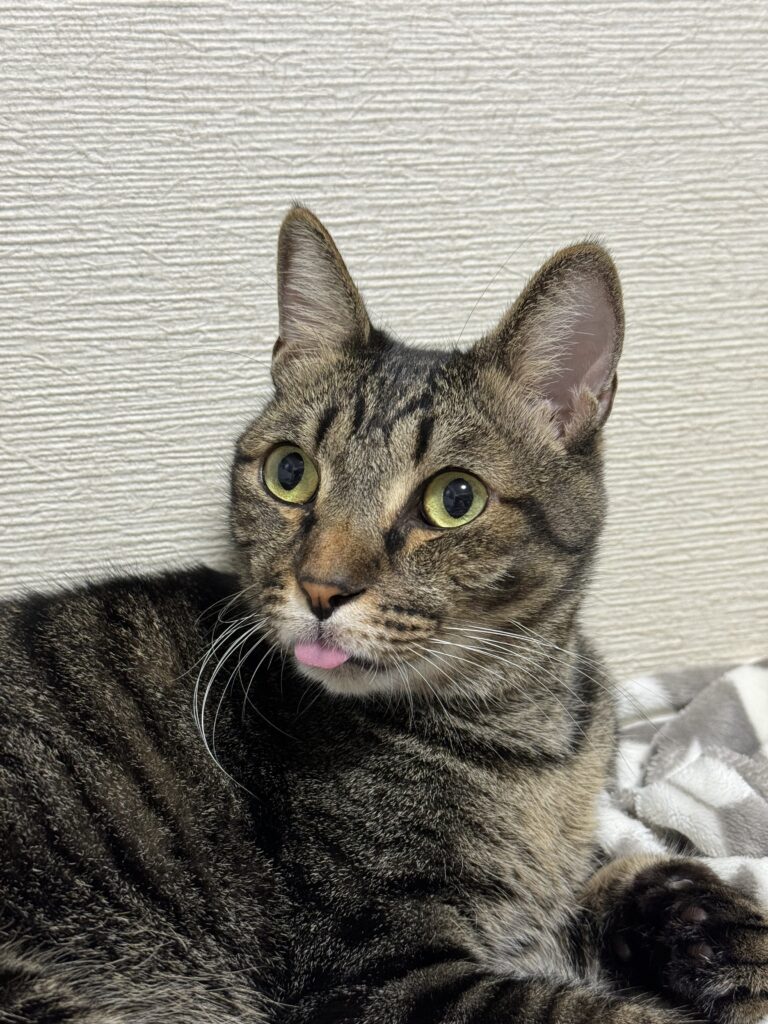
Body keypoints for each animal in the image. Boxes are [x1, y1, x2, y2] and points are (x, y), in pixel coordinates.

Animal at [1, 206, 766, 1024]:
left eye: (455, 499)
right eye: (290, 472)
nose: (321, 588)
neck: (529, 739)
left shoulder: (549, 889)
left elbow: (630, 871)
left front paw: (724, 932)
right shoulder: (380, 976)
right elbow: (601, 1009)